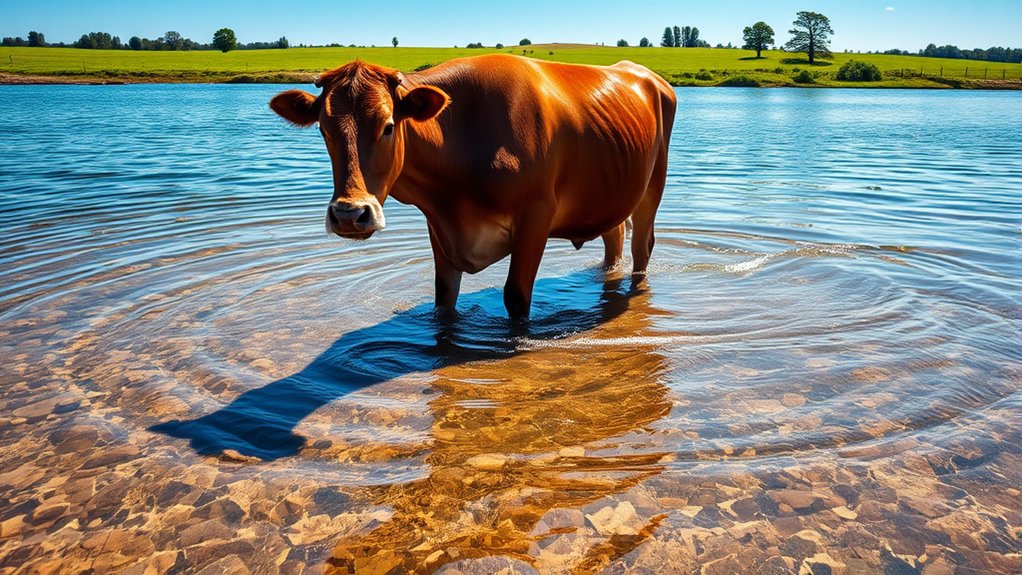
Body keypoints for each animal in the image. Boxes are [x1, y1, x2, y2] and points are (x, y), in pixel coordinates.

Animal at [269, 54, 675, 319]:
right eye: (323, 129)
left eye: (388, 126)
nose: (350, 214)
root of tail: (640, 72)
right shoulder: (438, 225)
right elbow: (444, 297)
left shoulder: (535, 214)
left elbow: (516, 297)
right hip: (609, 197)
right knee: (614, 240)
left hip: (652, 187)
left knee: (642, 247)